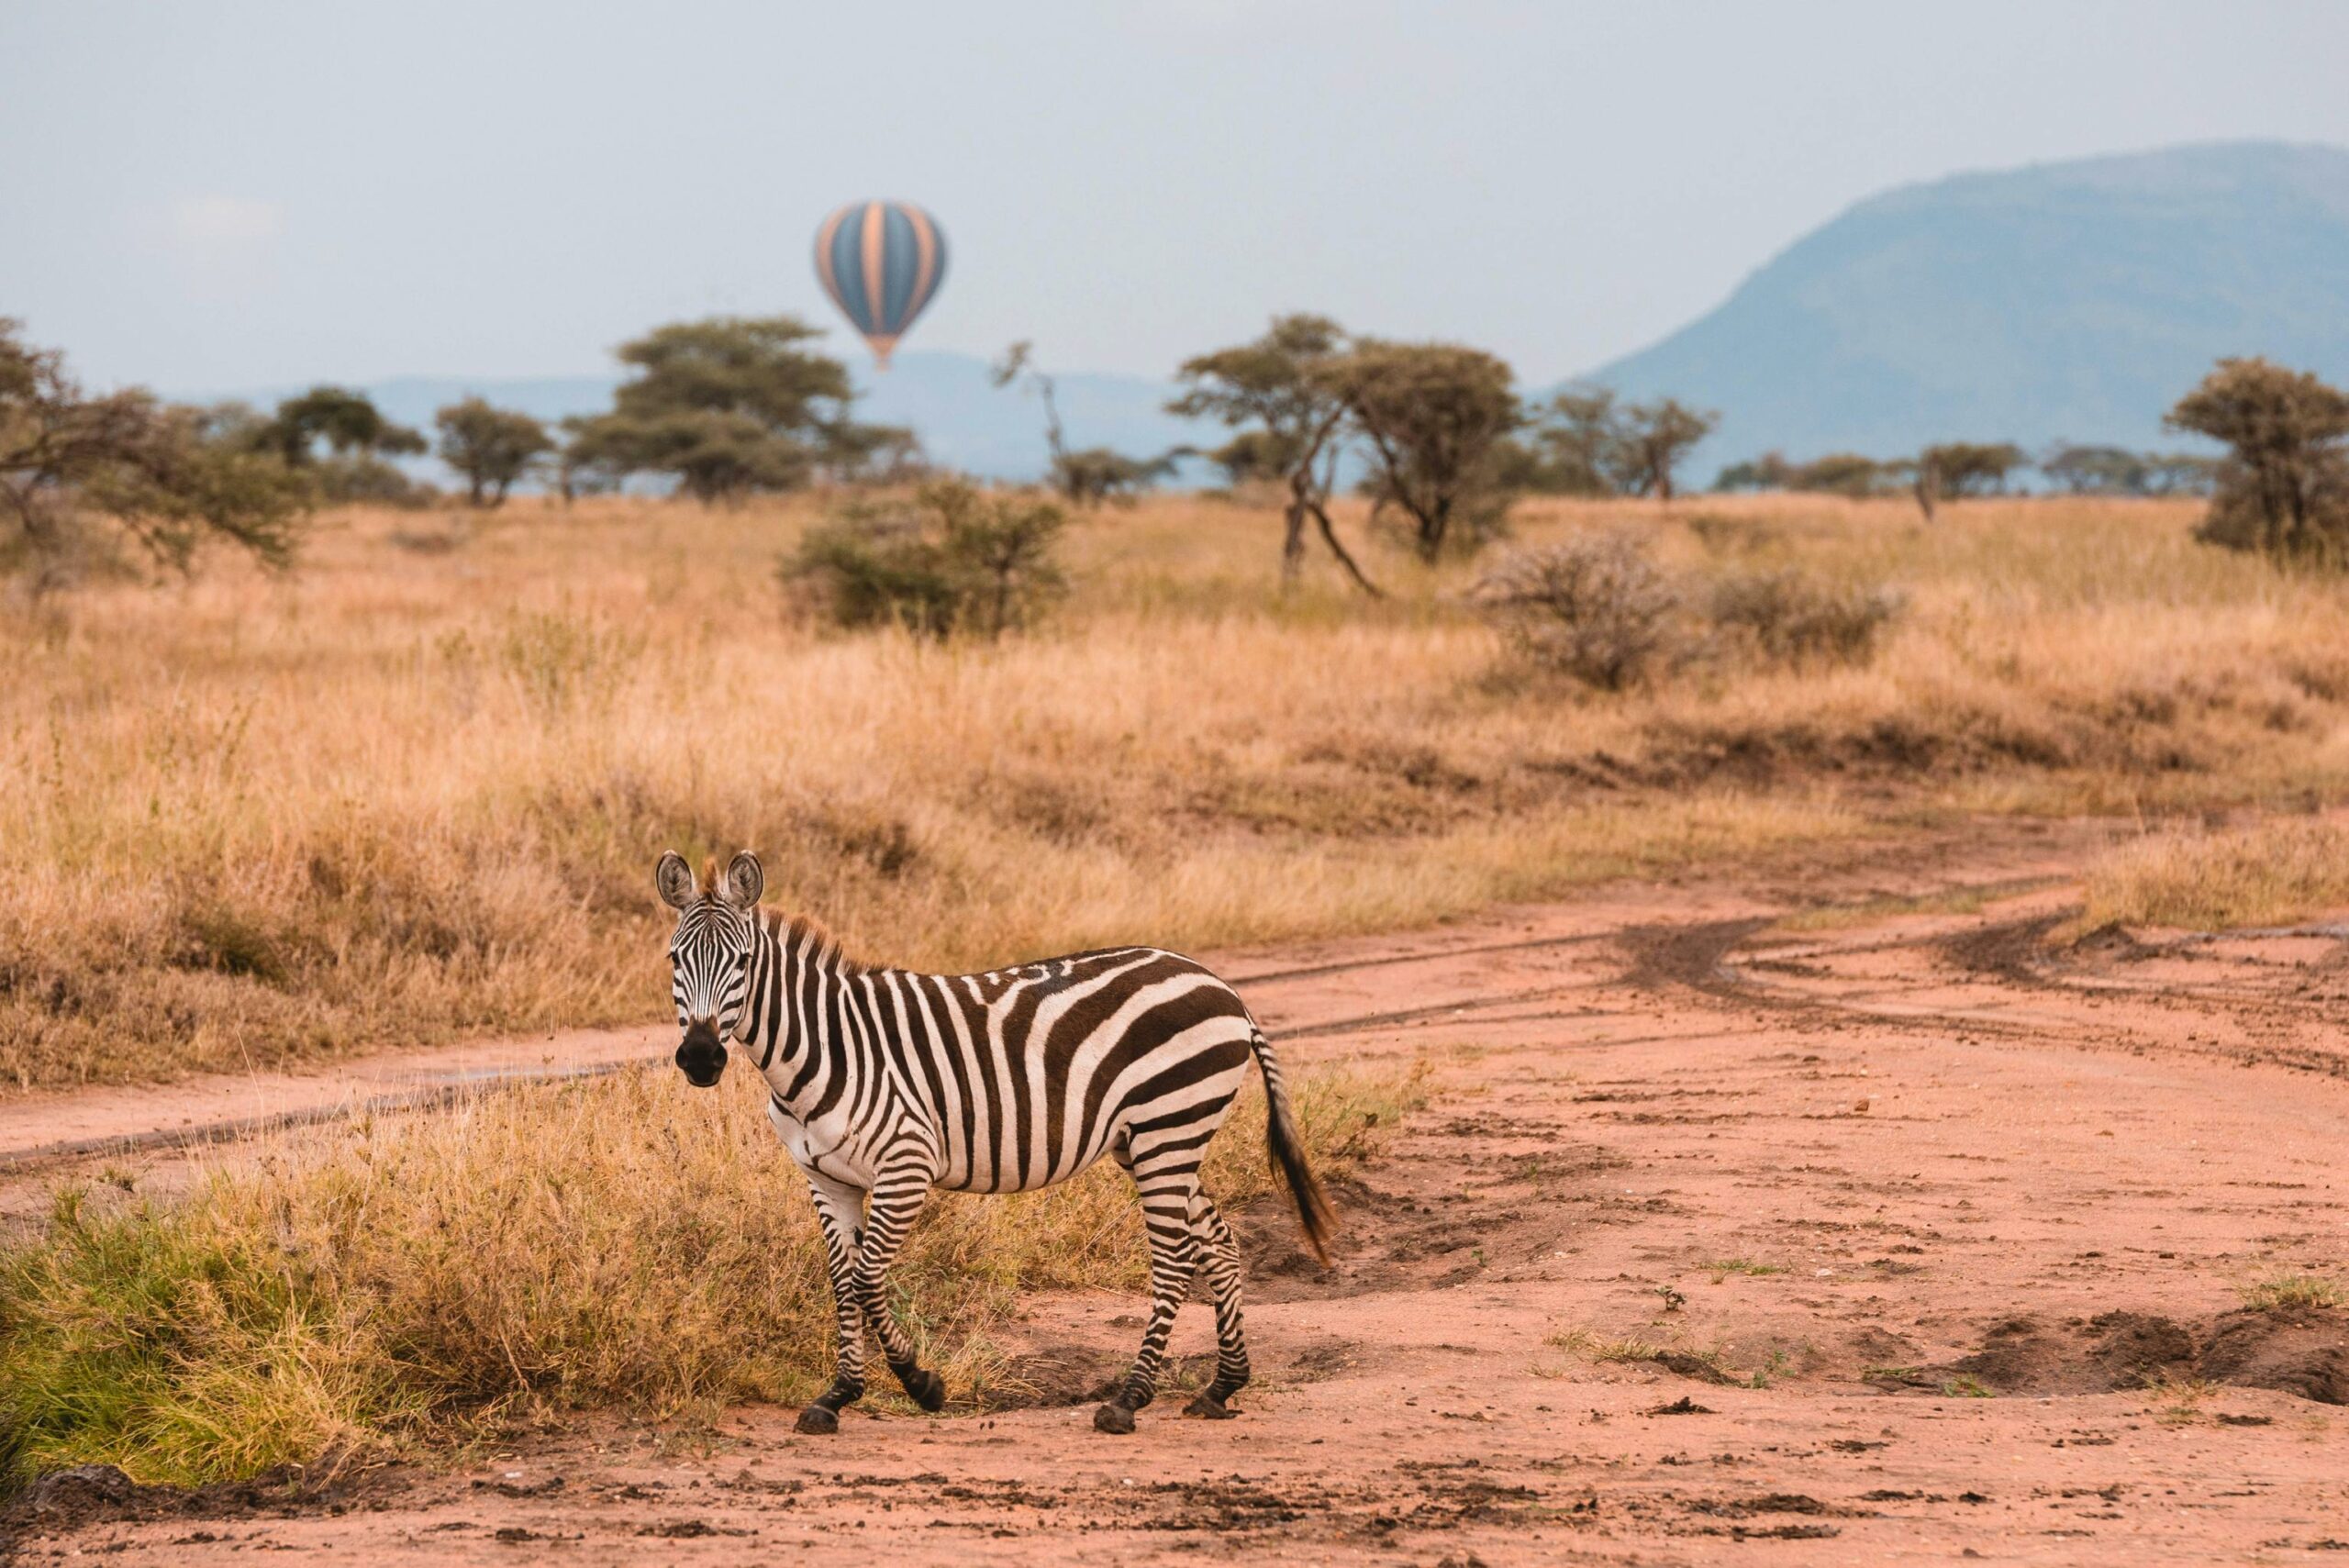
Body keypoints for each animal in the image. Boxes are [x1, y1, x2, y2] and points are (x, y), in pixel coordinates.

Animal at [657, 850, 1343, 1436]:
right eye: (673, 960)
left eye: (743, 962)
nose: (700, 1057)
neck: (824, 1046)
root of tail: (1223, 987)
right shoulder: (827, 1177)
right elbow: (843, 1279)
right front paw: (838, 1396)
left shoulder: (906, 1164)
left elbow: (869, 1277)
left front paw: (921, 1384)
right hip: (1154, 1139)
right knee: (1219, 1243)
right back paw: (1222, 1386)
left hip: (1168, 1129)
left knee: (1175, 1259)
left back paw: (1128, 1400)